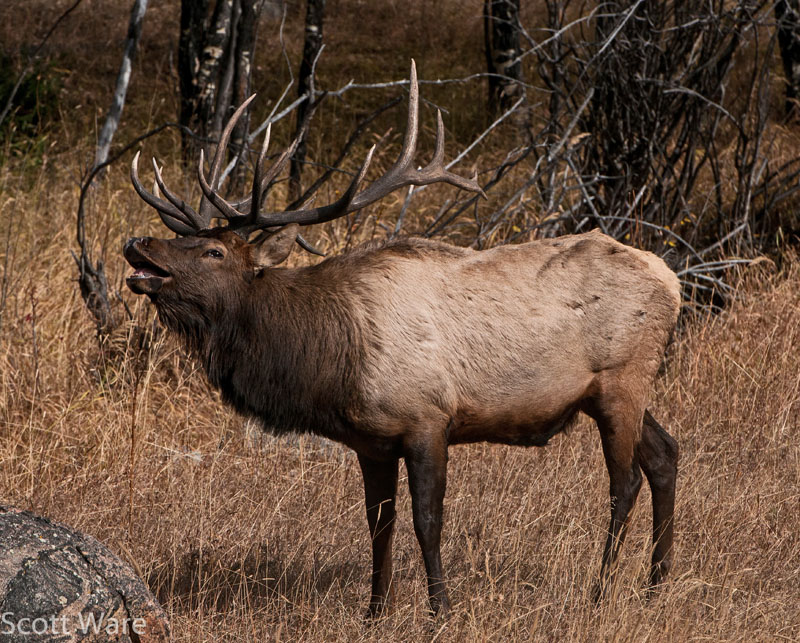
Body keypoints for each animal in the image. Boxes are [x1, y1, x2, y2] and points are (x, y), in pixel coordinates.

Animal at [123, 62, 680, 618]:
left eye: (214, 251)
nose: (137, 243)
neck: (331, 360)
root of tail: (673, 281)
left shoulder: (427, 420)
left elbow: (426, 521)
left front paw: (440, 609)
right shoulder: (370, 441)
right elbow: (378, 524)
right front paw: (375, 609)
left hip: (621, 379)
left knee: (625, 481)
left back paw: (602, 591)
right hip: (609, 391)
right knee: (665, 454)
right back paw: (655, 584)